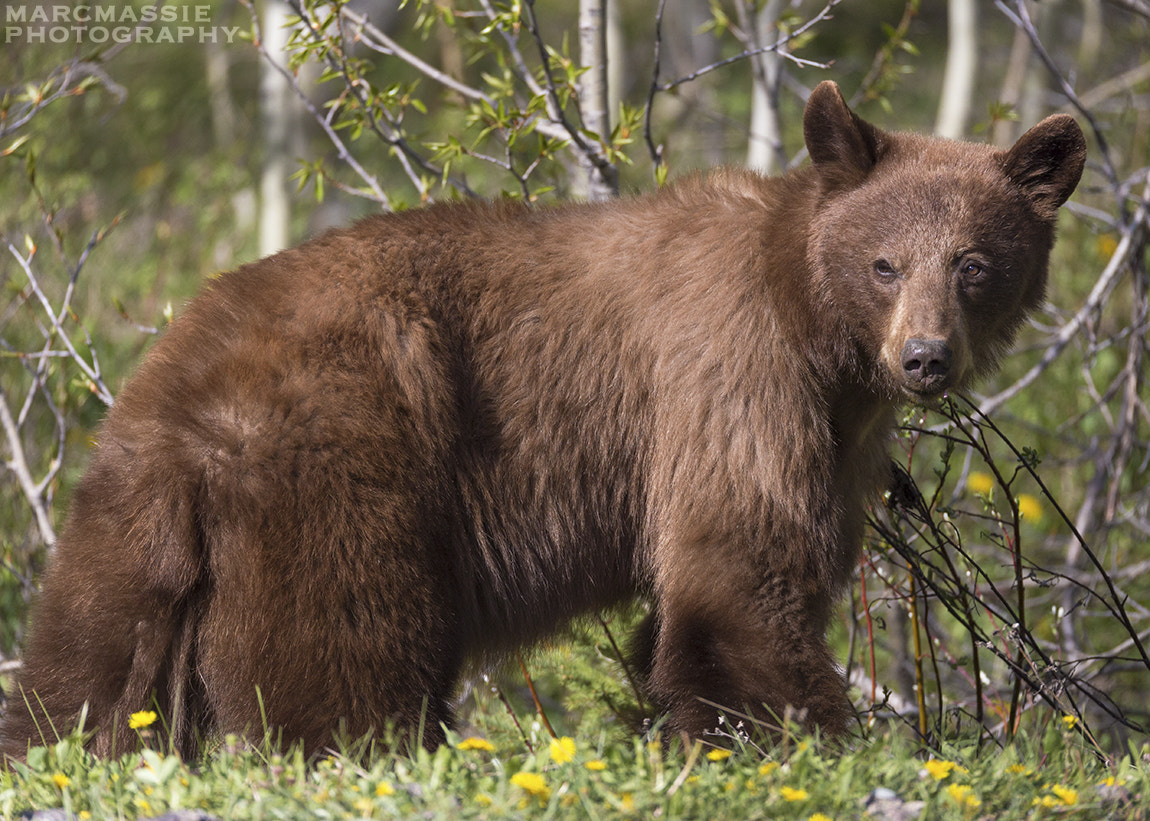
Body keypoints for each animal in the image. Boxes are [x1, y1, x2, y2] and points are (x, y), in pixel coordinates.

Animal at [0, 81, 1086, 760]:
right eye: (884, 263)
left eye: (974, 262)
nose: (925, 358)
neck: (817, 328)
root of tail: (176, 393)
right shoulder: (734, 374)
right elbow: (738, 573)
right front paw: (804, 745)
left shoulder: (837, 434)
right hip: (343, 477)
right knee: (343, 669)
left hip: (129, 535)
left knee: (82, 672)